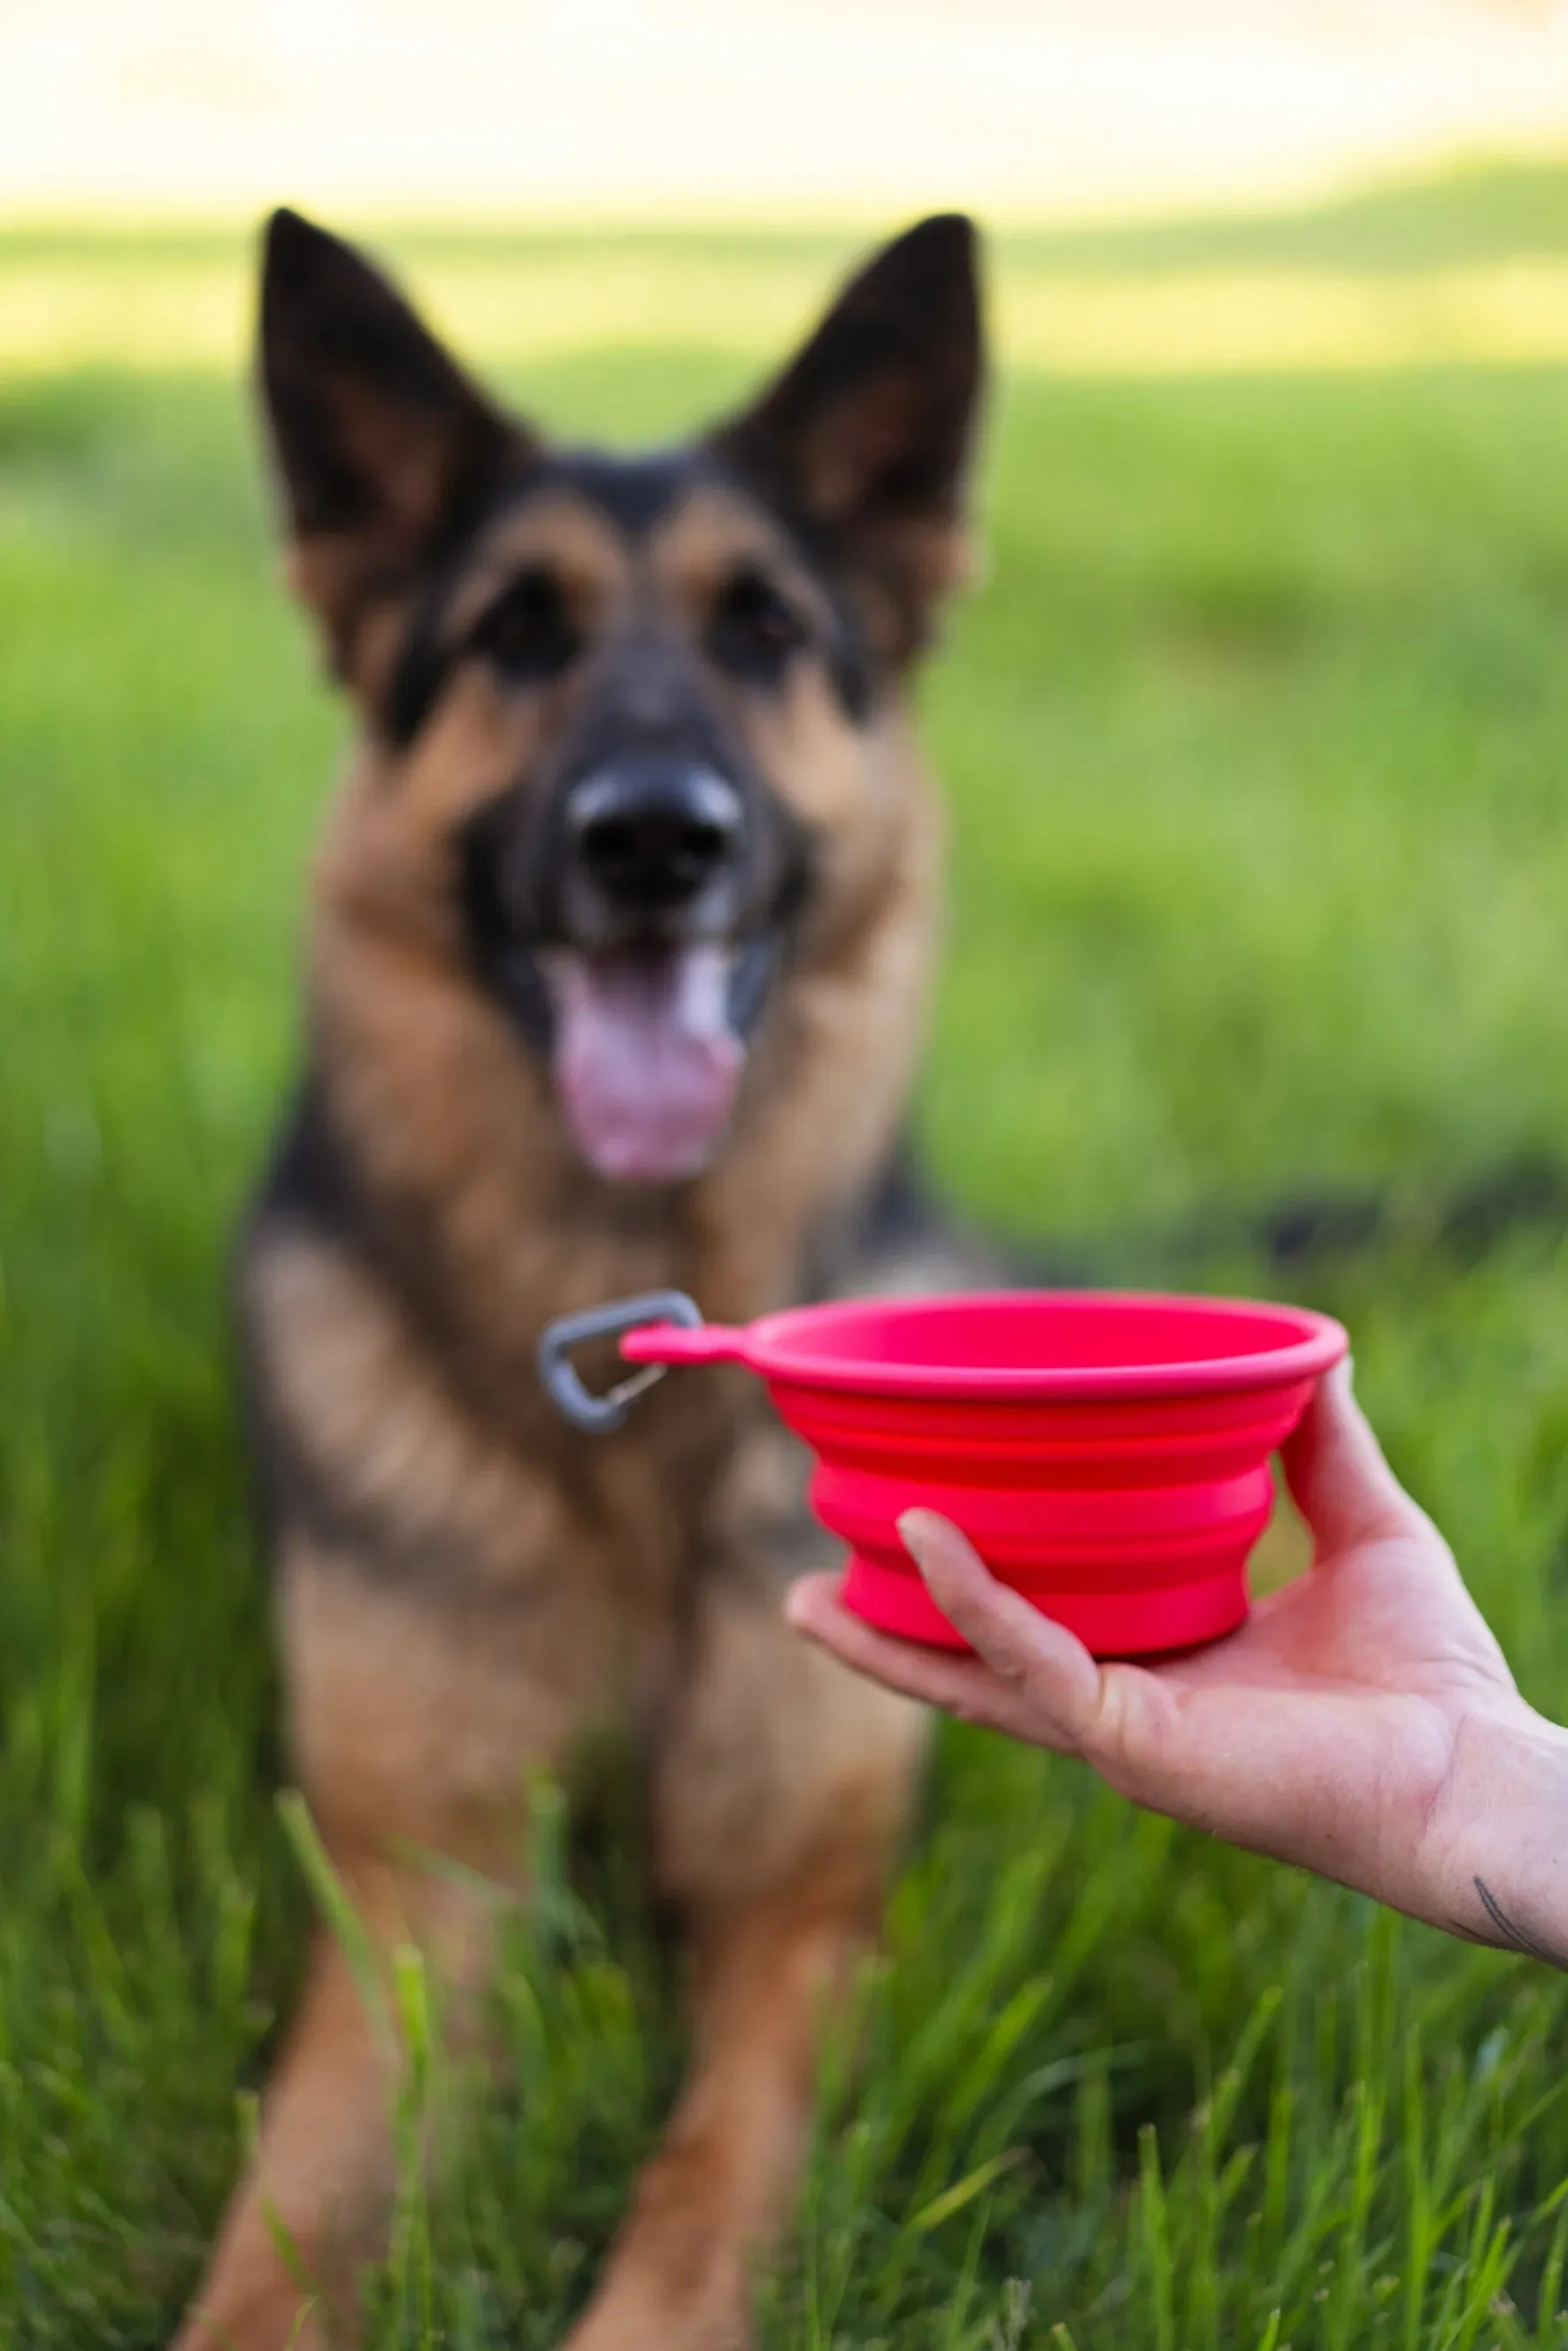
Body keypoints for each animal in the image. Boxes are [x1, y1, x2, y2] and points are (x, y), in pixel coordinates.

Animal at [177, 206, 987, 2351]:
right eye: (514, 634)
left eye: (764, 628)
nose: (652, 843)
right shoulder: (421, 1895)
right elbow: (285, 2230)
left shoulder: (801, 1915)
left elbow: (701, 2189)